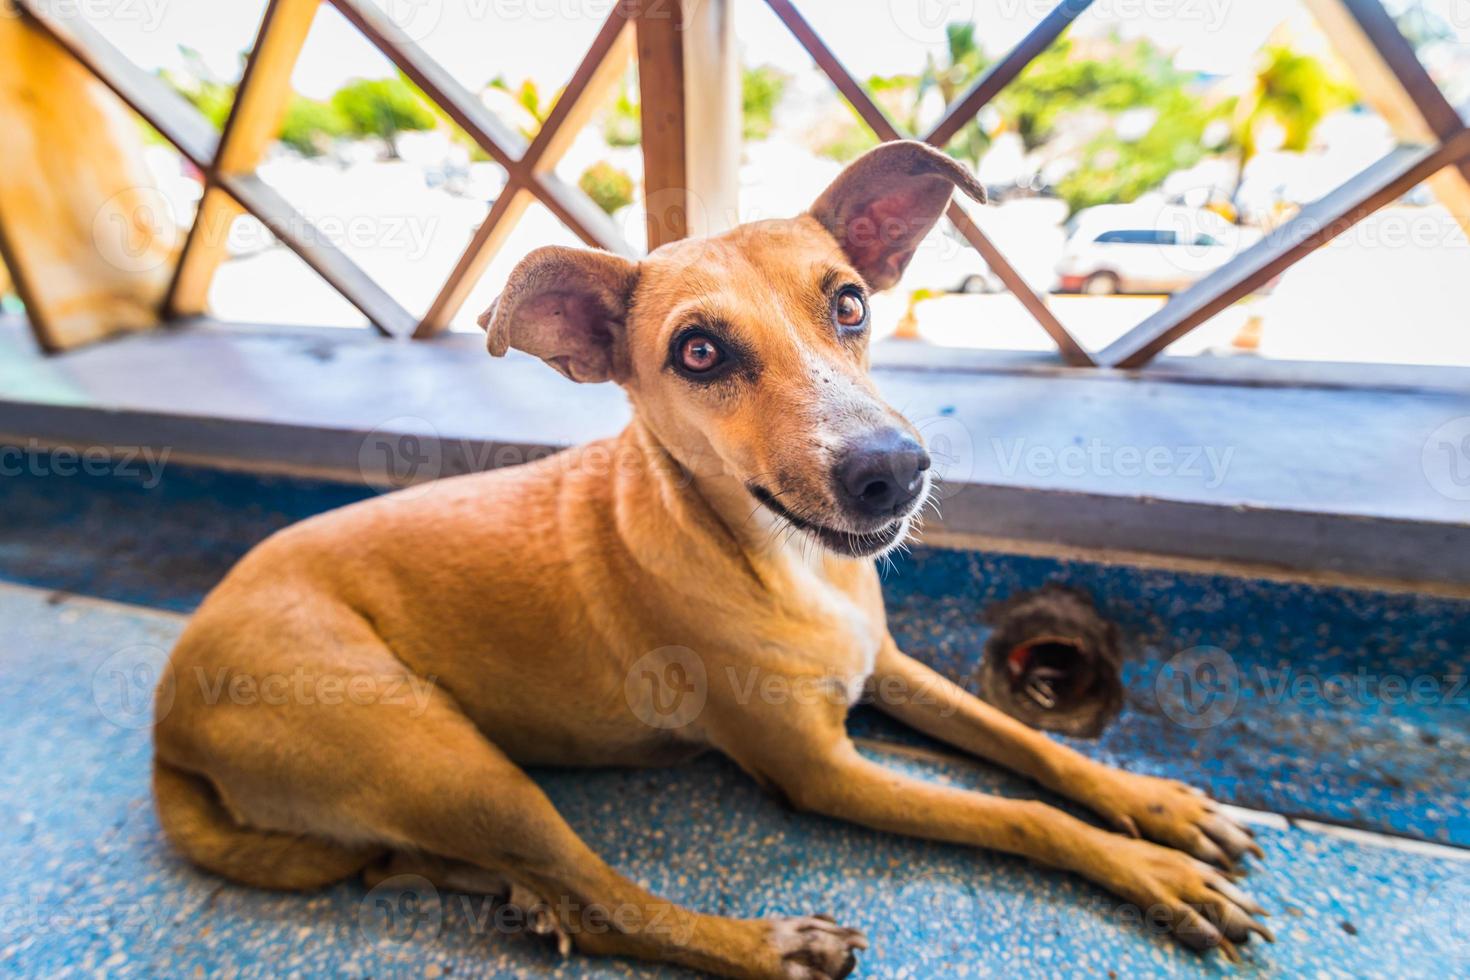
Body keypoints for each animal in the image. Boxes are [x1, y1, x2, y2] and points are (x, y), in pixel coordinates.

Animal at [155, 141, 1270, 975]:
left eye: (851, 302)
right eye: (698, 352)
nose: (893, 469)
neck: (780, 561)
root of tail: (170, 719)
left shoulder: (890, 666)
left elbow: (1032, 748)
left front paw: (1155, 804)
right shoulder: (825, 774)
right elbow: (1026, 817)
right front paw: (1152, 873)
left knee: (489, 879)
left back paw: (506, 893)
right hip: (454, 762)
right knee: (607, 903)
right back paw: (770, 946)